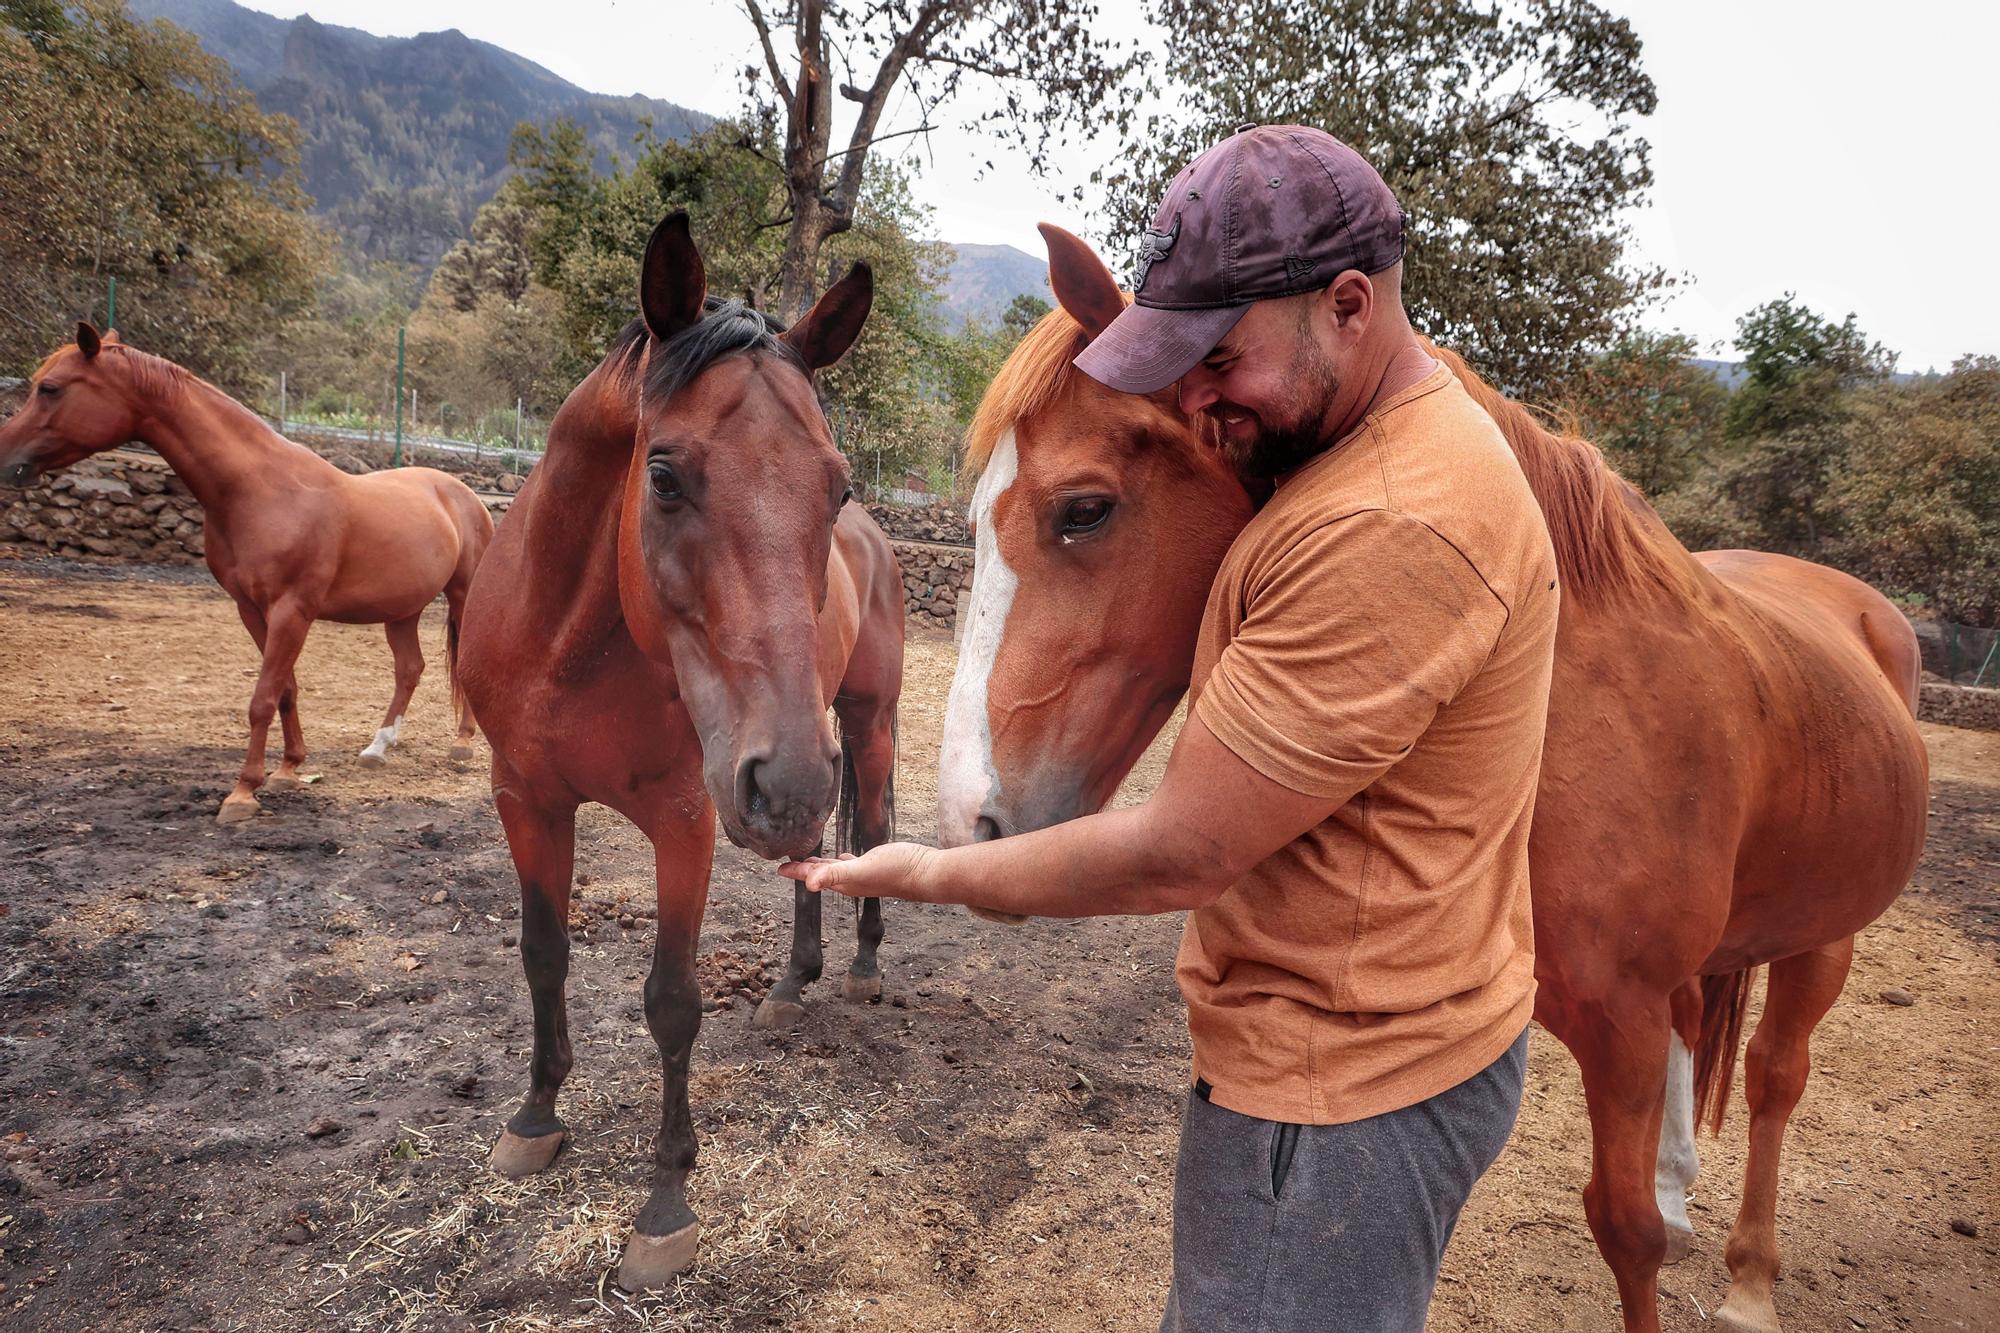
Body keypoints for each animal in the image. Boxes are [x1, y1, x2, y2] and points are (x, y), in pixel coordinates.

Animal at [0, 324, 492, 820]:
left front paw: (243, 792)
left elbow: (262, 698)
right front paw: (289, 768)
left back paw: (462, 744)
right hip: (402, 609)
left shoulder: (292, 611)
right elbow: (285, 690)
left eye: (50, 388)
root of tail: (463, 494)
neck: (260, 490)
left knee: (458, 664)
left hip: (463, 596)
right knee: (409, 668)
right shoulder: (251, 609)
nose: (4, 458)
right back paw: (378, 747)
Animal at [458, 215, 904, 1288]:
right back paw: (791, 982)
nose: (783, 779)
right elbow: (543, 952)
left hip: (853, 726)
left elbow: (672, 1001)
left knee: (867, 826)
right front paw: (535, 1118)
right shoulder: (525, 799)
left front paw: (664, 1204)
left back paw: (860, 966)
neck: (571, 648)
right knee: (817, 847)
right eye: (662, 474)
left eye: (836, 486)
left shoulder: (686, 820)